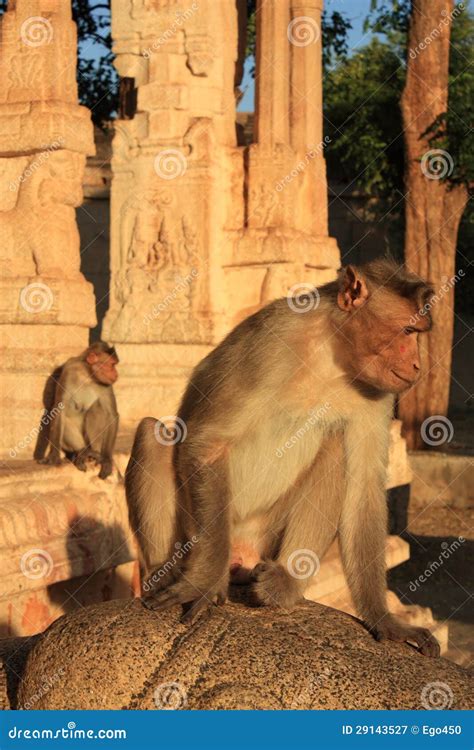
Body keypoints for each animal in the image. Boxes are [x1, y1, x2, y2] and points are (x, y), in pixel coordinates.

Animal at [39, 342, 120, 482]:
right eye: (112, 364)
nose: (116, 373)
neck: (87, 374)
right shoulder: (69, 369)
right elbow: (58, 411)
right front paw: (54, 455)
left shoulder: (106, 383)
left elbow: (111, 415)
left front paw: (107, 459)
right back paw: (80, 452)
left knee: (96, 409)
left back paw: (93, 453)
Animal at [126, 258, 440, 656]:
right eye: (407, 330)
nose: (417, 366)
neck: (332, 354)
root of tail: (240, 550)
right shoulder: (272, 339)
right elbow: (208, 444)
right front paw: (203, 581)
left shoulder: (378, 390)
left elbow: (365, 489)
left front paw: (386, 620)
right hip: (195, 531)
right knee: (153, 434)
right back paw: (163, 571)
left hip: (264, 536)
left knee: (335, 449)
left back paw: (284, 582)